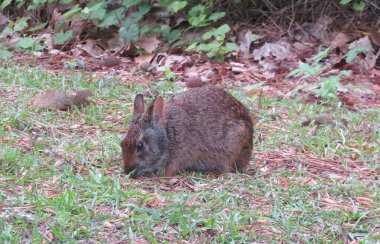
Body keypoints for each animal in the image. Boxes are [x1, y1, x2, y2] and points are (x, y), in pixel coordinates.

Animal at [120, 86, 254, 177]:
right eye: (122, 143)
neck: (167, 135)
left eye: (140, 145)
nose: (127, 170)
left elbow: (173, 167)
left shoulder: (182, 154)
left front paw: (166, 175)